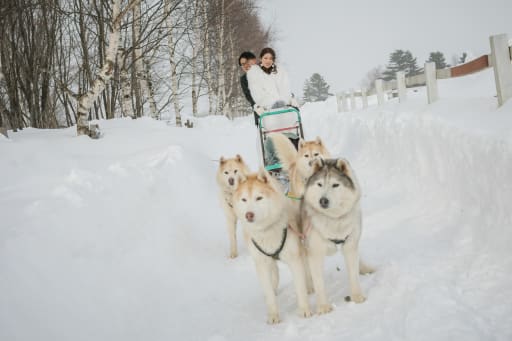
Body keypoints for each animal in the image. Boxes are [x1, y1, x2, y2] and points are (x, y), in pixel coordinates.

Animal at [233, 169, 312, 322]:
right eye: (244, 200)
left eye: (259, 198)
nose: (248, 215)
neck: (267, 230)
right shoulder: (261, 264)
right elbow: (269, 292)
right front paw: (273, 315)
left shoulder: (294, 259)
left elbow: (300, 287)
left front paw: (305, 310)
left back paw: (310, 287)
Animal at [302, 158, 370, 312]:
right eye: (319, 184)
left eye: (335, 185)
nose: (323, 200)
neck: (333, 219)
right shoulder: (315, 253)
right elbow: (319, 283)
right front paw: (323, 307)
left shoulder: (350, 246)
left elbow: (353, 274)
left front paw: (357, 297)